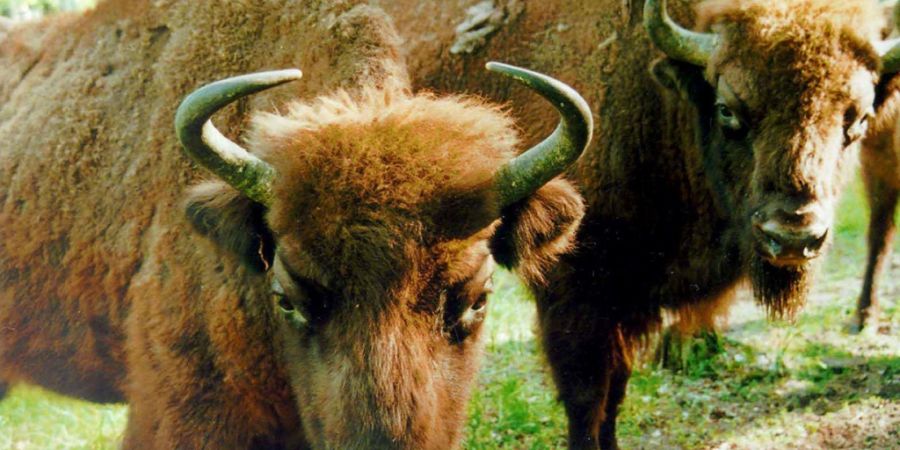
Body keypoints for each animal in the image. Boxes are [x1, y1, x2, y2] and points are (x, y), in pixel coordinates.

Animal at [382, 0, 900, 448]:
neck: (664, 105)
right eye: (728, 109)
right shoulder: (576, 295)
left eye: (857, 119)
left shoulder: (628, 303)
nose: (792, 235)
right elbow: (586, 398)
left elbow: (614, 395)